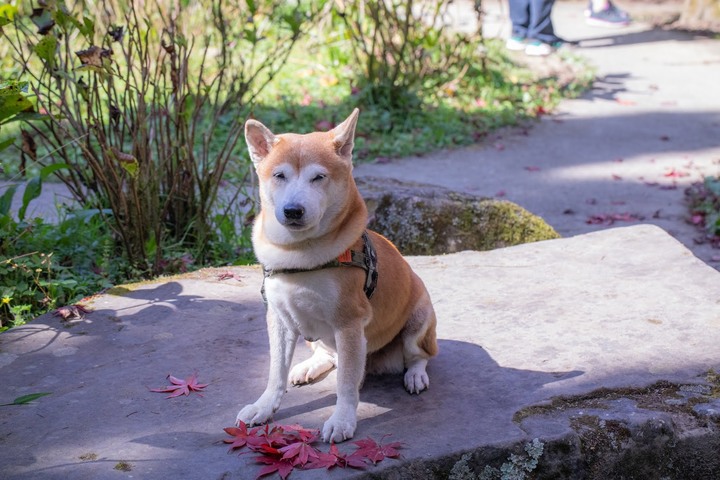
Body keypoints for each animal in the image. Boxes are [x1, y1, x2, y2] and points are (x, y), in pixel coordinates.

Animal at [238, 108, 438, 442]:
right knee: (327, 355)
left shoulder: (348, 324)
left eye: (318, 177)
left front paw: (342, 420)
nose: (293, 210)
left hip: (419, 319)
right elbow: (275, 373)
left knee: (418, 355)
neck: (299, 258)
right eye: (279, 176)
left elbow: (346, 384)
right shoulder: (279, 320)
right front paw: (263, 406)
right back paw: (308, 366)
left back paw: (415, 374)